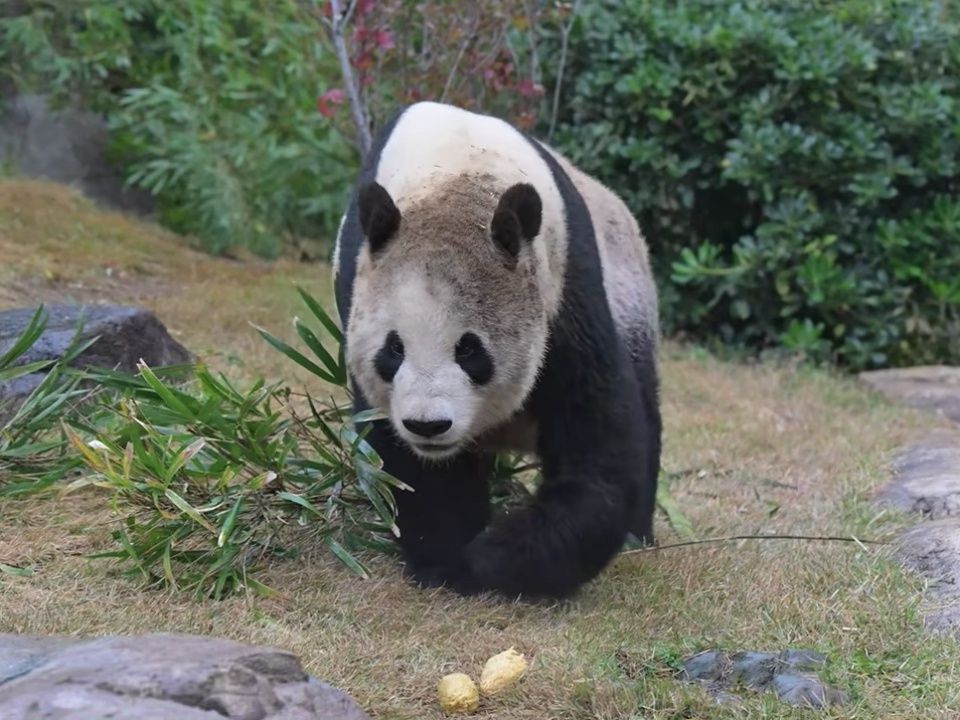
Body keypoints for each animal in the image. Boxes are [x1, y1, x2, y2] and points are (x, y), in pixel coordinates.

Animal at [332, 98, 660, 600]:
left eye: (470, 351)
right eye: (393, 350)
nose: (428, 426)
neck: (457, 178)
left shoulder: (565, 288)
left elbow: (598, 444)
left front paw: (492, 560)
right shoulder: (357, 279)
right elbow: (408, 465)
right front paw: (445, 559)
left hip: (630, 294)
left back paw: (637, 535)